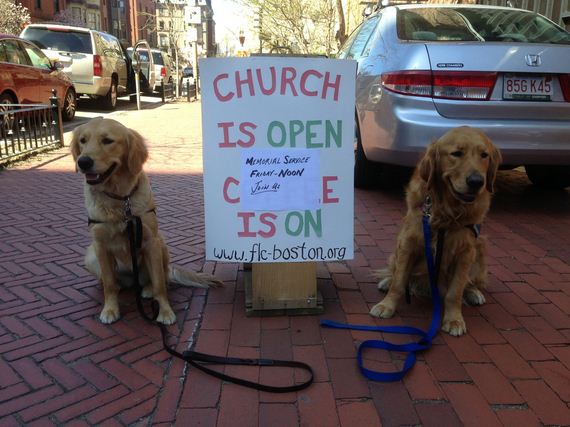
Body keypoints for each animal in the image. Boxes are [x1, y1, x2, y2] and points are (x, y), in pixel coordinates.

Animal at [70, 117, 222, 324]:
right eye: (83, 141)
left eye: (108, 141)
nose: (83, 161)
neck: (120, 199)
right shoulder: (100, 246)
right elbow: (109, 284)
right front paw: (110, 309)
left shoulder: (151, 242)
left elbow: (159, 284)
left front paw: (165, 312)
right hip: (90, 255)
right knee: (112, 282)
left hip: (162, 244)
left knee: (161, 276)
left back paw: (148, 289)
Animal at [368, 127, 496, 338]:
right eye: (456, 153)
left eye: (484, 155)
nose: (477, 181)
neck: (446, 212)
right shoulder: (409, 241)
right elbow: (399, 281)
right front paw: (386, 305)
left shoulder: (466, 251)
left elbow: (455, 291)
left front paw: (454, 320)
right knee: (396, 272)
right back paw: (386, 281)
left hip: (480, 248)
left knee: (470, 282)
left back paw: (474, 292)